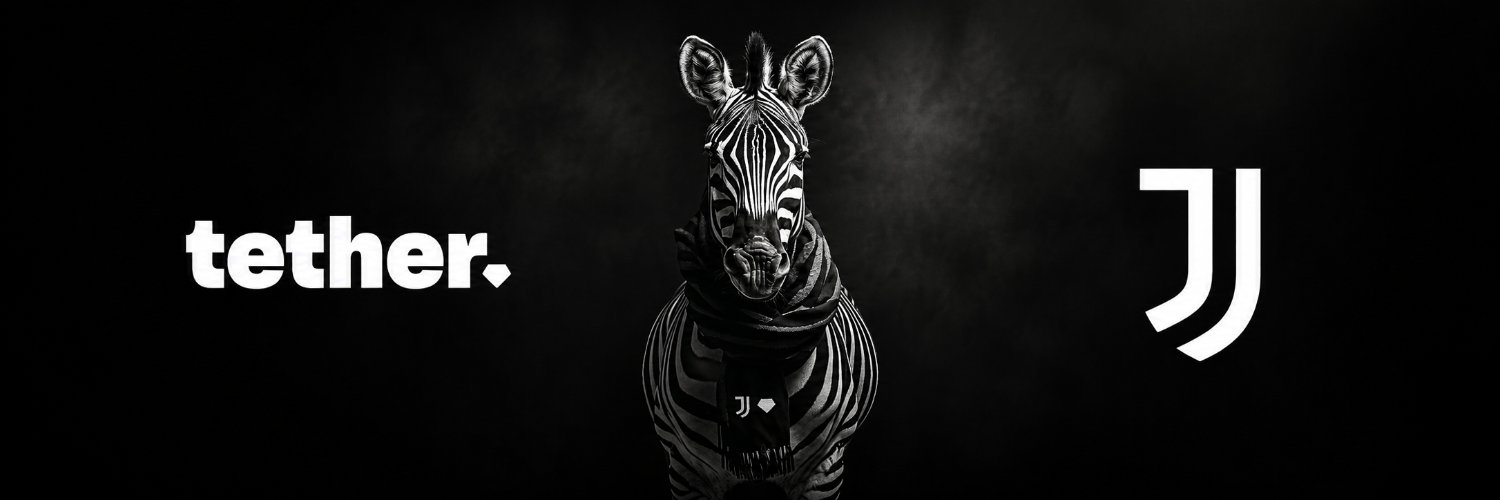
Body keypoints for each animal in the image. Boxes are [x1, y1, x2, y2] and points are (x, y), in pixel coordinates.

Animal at [643, 33, 878, 500]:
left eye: (801, 159)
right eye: (713, 160)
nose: (757, 263)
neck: (756, 337)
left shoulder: (826, 468)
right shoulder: (685, 470)